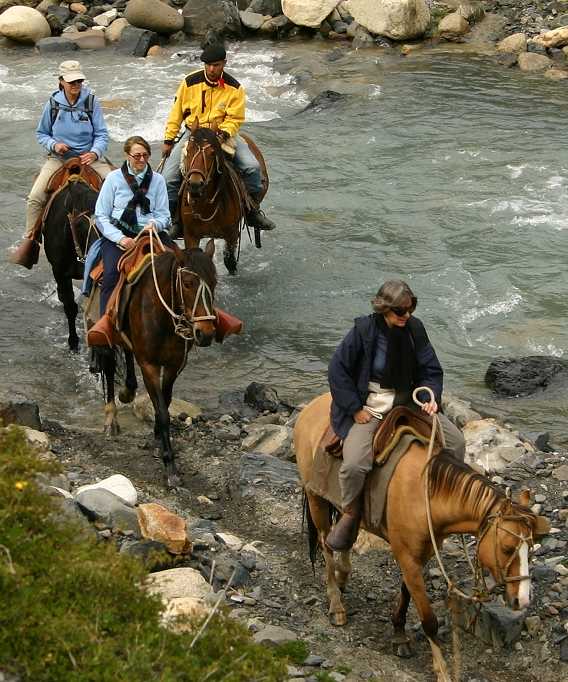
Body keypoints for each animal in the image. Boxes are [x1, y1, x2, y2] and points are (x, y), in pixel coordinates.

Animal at [179, 119, 268, 274]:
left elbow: (229, 260)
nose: (195, 185)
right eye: (188, 150)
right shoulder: (190, 236)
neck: (205, 206)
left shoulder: (232, 234)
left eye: (212, 152)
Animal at [292, 390, 552, 680]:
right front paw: (442, 670)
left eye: (531, 549)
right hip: (316, 499)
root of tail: (310, 407)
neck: (426, 492)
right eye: (507, 548)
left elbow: (406, 596)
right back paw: (336, 604)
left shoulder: (421, 554)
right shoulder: (407, 557)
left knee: (344, 535)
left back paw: (343, 576)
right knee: (325, 546)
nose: (523, 600)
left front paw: (399, 635)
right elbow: (429, 620)